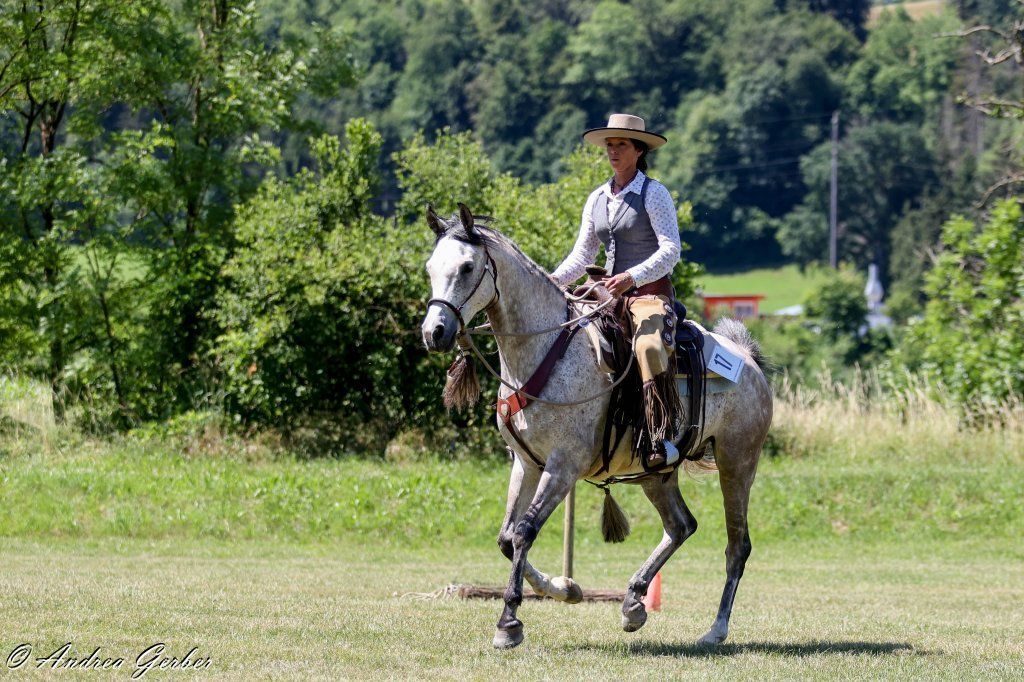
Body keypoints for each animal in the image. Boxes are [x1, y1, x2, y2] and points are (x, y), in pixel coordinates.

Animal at [420, 204, 773, 650]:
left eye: (467, 267)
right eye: (431, 267)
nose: (434, 332)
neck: (543, 351)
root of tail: (747, 359)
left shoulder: (563, 466)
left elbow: (524, 531)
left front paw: (509, 622)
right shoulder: (525, 462)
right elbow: (506, 537)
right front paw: (564, 588)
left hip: (737, 464)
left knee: (736, 546)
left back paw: (716, 629)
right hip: (656, 473)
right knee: (681, 526)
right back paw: (634, 603)